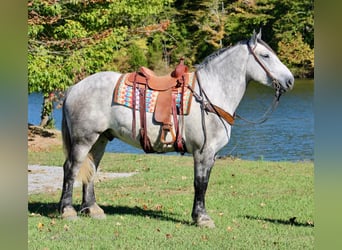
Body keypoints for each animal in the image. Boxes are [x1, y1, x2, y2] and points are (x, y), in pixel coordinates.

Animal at [58, 30, 294, 228]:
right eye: (266, 56)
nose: (290, 81)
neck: (210, 93)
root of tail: (74, 87)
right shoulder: (203, 152)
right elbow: (200, 183)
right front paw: (202, 218)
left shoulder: (211, 154)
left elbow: (204, 182)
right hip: (83, 140)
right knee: (71, 168)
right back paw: (67, 210)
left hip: (100, 139)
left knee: (91, 169)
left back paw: (92, 209)